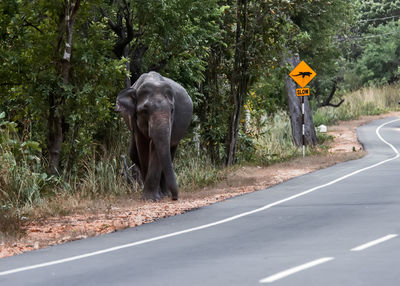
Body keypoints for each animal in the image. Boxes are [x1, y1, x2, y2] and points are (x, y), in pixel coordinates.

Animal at [115, 71, 193, 201]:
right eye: (144, 110)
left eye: (172, 110)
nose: (175, 197)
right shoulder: (134, 119)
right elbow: (142, 145)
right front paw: (149, 198)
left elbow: (156, 148)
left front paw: (152, 198)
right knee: (133, 153)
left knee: (171, 151)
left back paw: (164, 194)